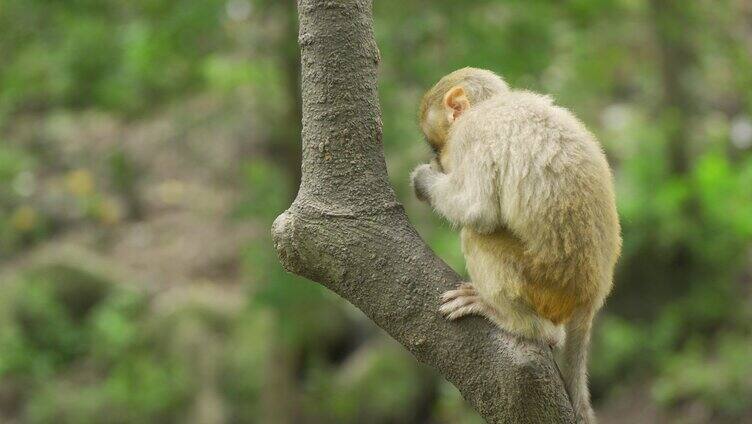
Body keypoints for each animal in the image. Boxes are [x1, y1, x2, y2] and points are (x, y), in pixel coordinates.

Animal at [412, 68, 624, 422]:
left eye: (436, 145)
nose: (438, 160)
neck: (491, 104)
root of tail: (592, 296)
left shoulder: (471, 135)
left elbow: (478, 209)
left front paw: (424, 181)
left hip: (542, 283)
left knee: (475, 235)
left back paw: (516, 321)